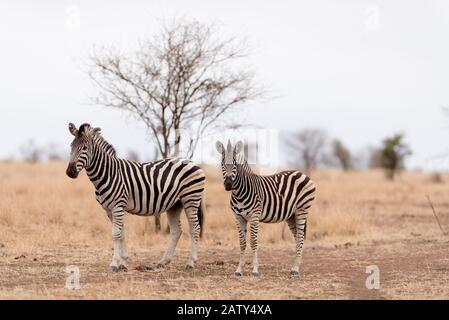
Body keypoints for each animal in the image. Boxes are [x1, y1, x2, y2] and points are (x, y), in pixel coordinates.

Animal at [65, 124, 206, 272]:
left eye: (85, 148)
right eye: (71, 146)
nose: (70, 172)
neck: (108, 173)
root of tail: (191, 161)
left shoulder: (118, 206)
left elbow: (116, 234)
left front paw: (114, 264)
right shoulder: (108, 209)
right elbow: (121, 233)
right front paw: (123, 262)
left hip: (191, 199)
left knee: (195, 228)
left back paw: (191, 262)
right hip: (175, 205)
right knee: (176, 231)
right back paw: (163, 262)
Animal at [214, 140, 316, 278]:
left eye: (235, 164)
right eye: (222, 164)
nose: (228, 184)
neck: (239, 192)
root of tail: (301, 173)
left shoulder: (254, 216)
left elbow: (253, 242)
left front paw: (255, 271)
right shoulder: (238, 217)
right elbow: (242, 243)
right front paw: (238, 270)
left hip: (302, 210)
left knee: (300, 237)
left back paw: (295, 270)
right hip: (291, 215)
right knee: (298, 238)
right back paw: (295, 266)